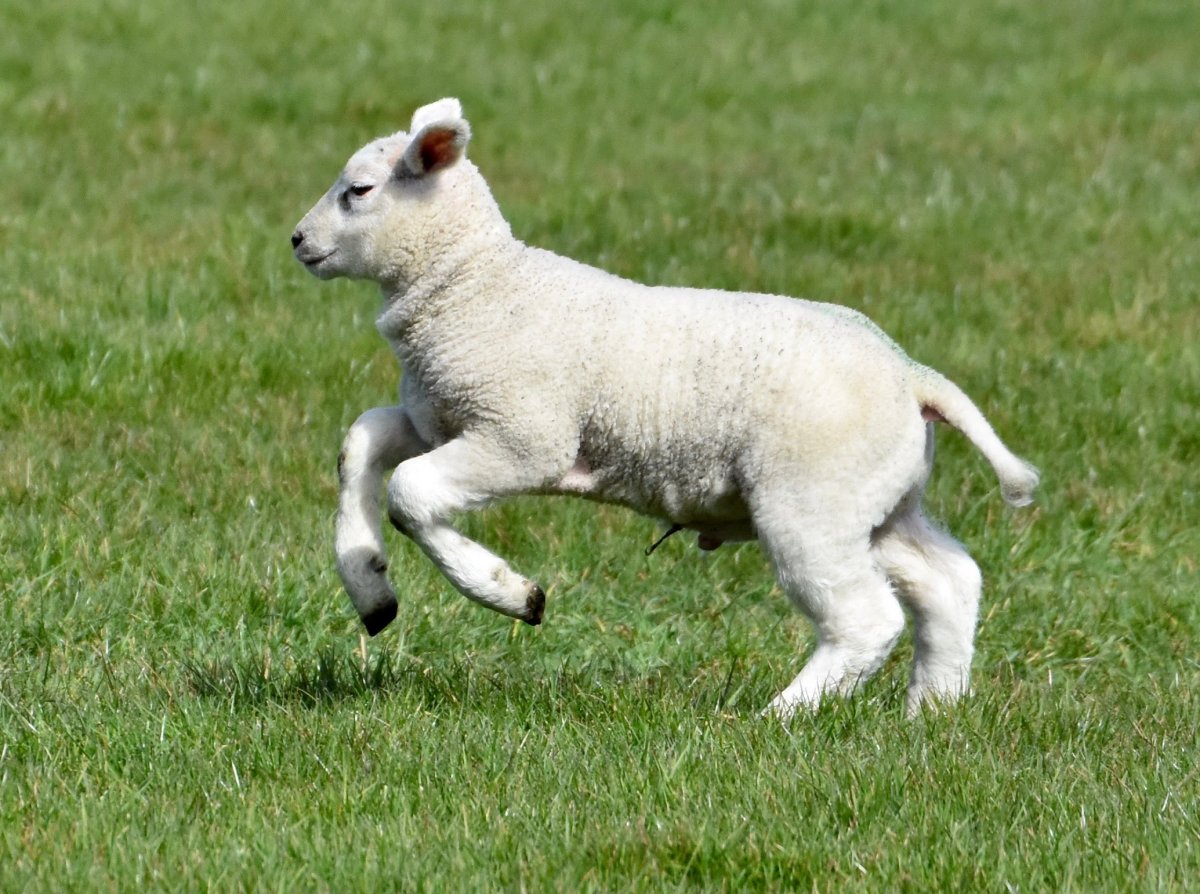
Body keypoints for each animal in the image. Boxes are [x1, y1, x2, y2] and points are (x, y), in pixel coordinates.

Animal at [292, 96, 1041, 720]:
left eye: (360, 191)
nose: (297, 240)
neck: (474, 287)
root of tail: (914, 377)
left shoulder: (523, 435)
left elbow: (412, 493)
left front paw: (512, 593)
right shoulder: (438, 418)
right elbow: (361, 444)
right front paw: (371, 589)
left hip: (810, 500)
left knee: (866, 618)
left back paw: (780, 718)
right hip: (879, 500)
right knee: (949, 581)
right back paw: (932, 713)